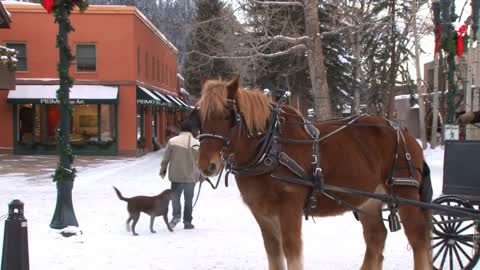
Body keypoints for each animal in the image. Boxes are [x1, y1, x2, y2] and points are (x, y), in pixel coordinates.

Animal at [190, 76, 432, 270]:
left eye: (227, 116)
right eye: (200, 117)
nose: (206, 165)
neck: (270, 148)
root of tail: (403, 131)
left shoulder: (289, 208)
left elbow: (291, 251)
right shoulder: (262, 214)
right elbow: (274, 254)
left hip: (405, 193)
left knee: (418, 239)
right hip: (368, 201)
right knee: (376, 238)